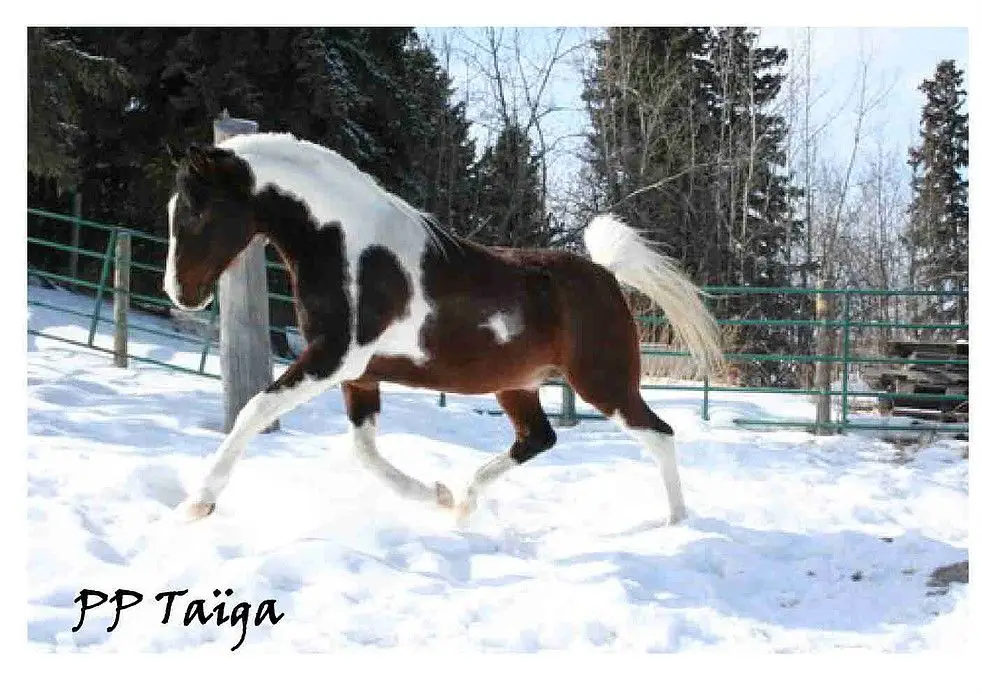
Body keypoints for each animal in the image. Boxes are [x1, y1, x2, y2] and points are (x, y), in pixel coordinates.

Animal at [163, 133, 722, 525]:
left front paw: (197, 505)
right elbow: (365, 451)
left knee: (659, 434)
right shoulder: (359, 374)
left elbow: (253, 410)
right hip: (517, 385)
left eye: (196, 211)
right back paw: (464, 504)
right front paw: (435, 495)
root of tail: (606, 275)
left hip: (602, 382)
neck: (349, 249)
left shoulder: (333, 358)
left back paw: (675, 523)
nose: (178, 293)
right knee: (538, 439)